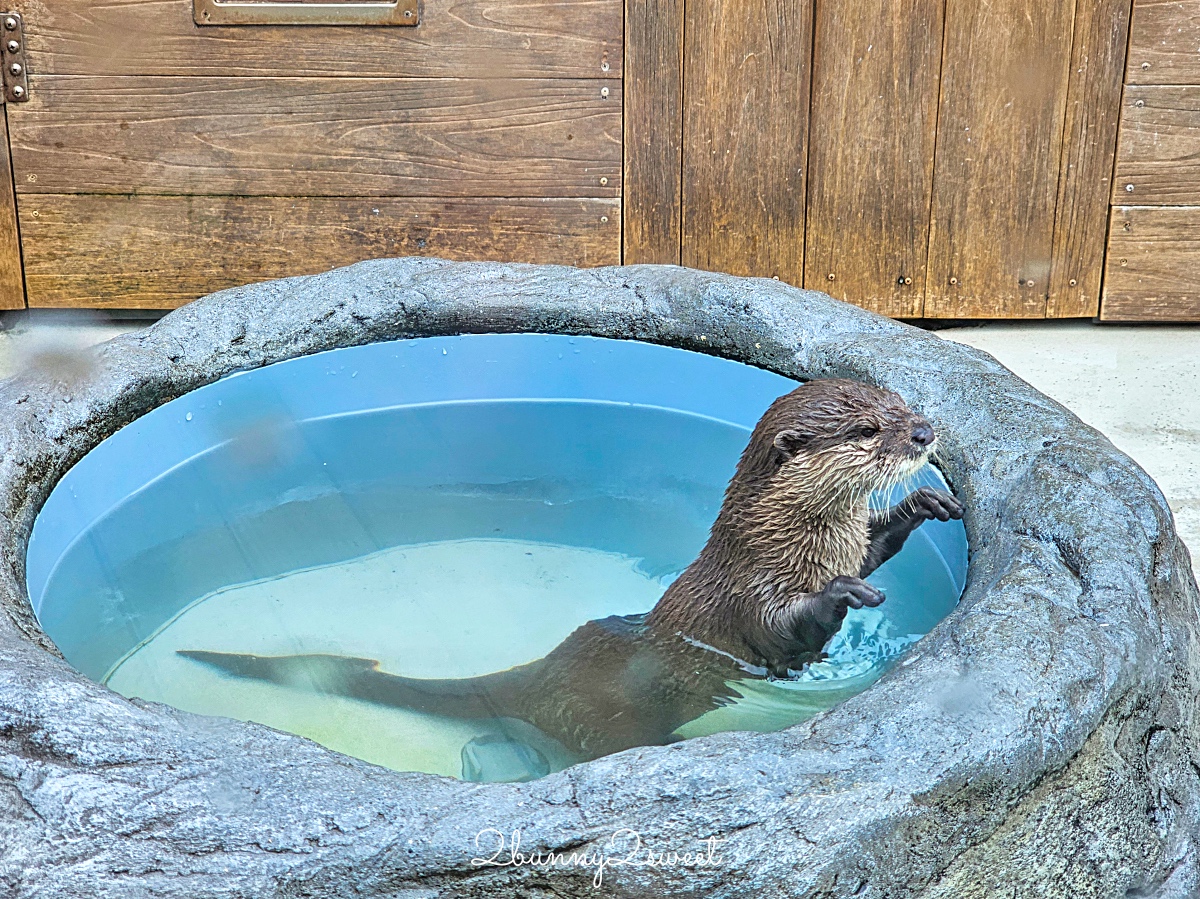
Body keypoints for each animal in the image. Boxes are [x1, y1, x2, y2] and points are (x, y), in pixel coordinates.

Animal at [180, 376, 964, 763]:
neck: (790, 541)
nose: (926, 433)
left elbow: (875, 545)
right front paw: (839, 594)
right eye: (869, 430)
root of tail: (535, 677)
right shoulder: (750, 593)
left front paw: (920, 506)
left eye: (901, 405)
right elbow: (781, 631)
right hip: (603, 721)